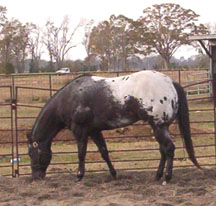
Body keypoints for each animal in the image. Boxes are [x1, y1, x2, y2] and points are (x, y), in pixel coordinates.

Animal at [27, 70, 201, 183]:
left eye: (30, 154)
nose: (36, 178)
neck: (71, 98)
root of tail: (170, 82)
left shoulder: (80, 131)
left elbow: (81, 154)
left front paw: (79, 175)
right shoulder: (94, 131)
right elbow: (104, 152)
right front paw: (114, 174)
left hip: (159, 126)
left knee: (169, 149)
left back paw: (166, 178)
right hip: (159, 127)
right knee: (163, 151)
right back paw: (157, 176)